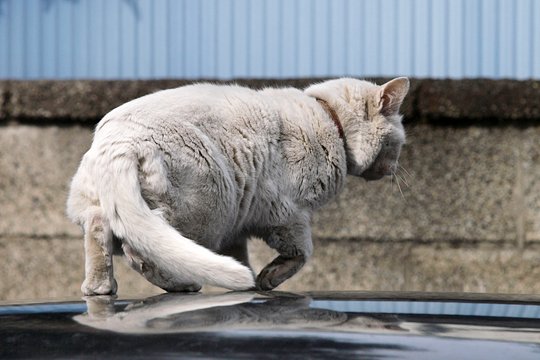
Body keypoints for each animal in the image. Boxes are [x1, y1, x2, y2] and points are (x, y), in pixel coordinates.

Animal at [65, 77, 408, 294]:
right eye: (400, 143)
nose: (395, 168)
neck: (331, 118)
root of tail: (121, 142)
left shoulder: (239, 224)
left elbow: (241, 255)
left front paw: (253, 282)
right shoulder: (288, 212)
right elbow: (303, 252)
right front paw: (268, 278)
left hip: (101, 205)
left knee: (101, 232)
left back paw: (100, 288)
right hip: (206, 204)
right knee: (142, 248)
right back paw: (182, 284)